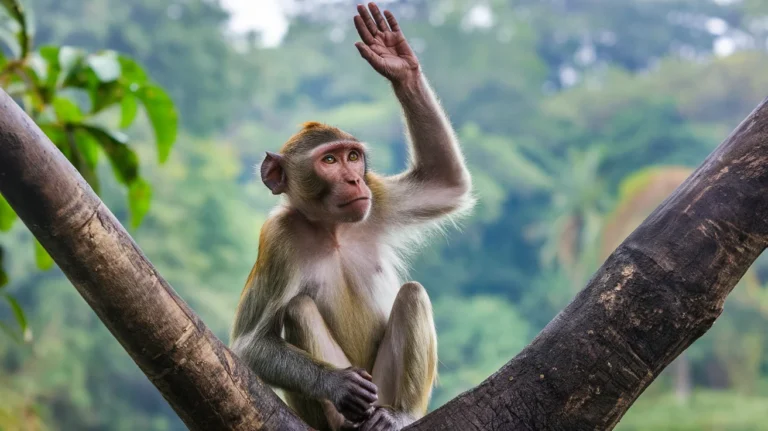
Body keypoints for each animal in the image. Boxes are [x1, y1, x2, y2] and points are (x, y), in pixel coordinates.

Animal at [229, 3, 473, 431]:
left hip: (383, 387)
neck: (333, 230)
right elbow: (248, 344)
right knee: (297, 308)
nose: (352, 179)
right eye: (329, 161)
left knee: (412, 294)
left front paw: (397, 61)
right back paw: (346, 415)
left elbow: (445, 182)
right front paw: (337, 384)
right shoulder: (276, 237)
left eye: (353, 157)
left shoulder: (375, 199)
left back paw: (399, 415)